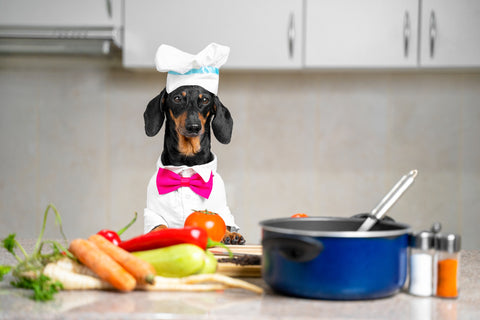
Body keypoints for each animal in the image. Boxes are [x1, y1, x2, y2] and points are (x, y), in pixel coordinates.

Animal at [142, 85, 246, 245]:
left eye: (205, 100)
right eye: (177, 98)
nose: (193, 127)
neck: (188, 160)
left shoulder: (222, 209)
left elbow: (223, 221)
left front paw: (229, 234)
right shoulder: (152, 212)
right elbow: (158, 224)